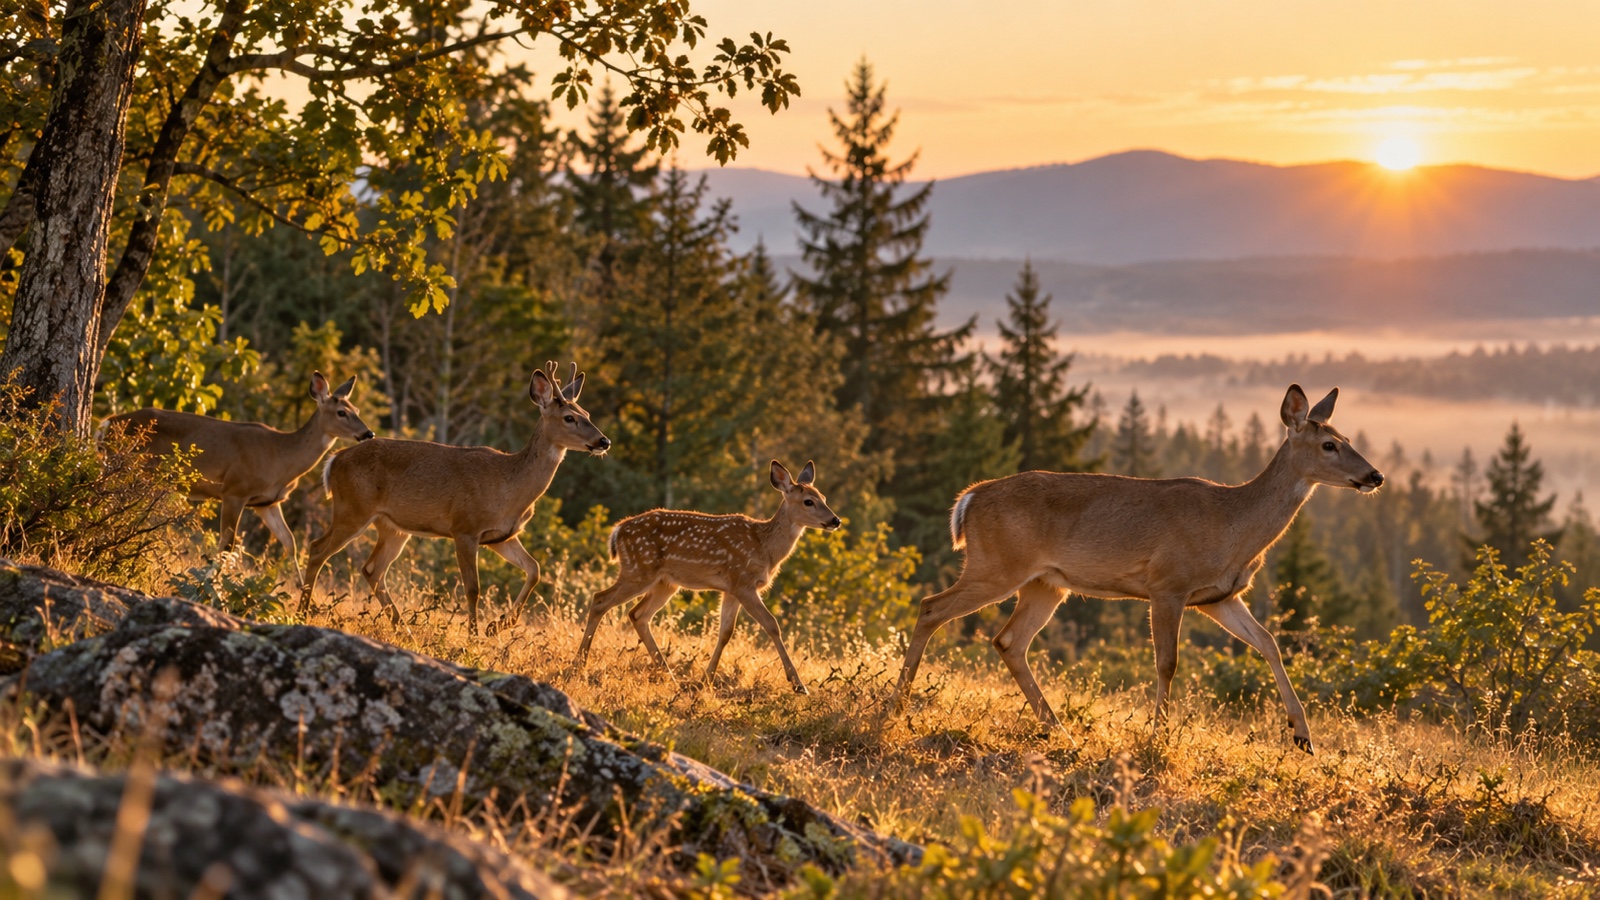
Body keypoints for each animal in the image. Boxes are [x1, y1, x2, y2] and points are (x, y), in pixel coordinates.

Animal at [106, 372, 375, 581]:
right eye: (341, 412)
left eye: (357, 409)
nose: (368, 433)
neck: (281, 456)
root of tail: (106, 424)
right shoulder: (234, 491)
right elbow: (227, 545)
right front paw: (212, 586)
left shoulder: (268, 502)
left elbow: (290, 542)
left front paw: (299, 591)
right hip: (132, 468)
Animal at [297, 362, 610, 634]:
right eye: (569, 418)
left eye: (587, 413)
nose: (603, 441)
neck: (510, 486)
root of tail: (334, 460)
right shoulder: (465, 527)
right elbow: (473, 588)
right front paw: (474, 636)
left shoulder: (501, 536)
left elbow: (535, 569)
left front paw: (498, 625)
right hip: (352, 509)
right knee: (318, 549)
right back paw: (302, 613)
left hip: (392, 526)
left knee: (372, 569)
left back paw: (404, 629)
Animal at [574, 460, 842, 694]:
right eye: (808, 501)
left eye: (824, 498)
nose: (835, 520)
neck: (764, 547)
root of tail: (618, 530)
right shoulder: (743, 581)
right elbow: (771, 625)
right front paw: (798, 685)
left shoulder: (731, 589)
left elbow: (725, 632)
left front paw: (706, 680)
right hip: (638, 569)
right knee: (600, 599)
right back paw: (579, 665)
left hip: (664, 582)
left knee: (638, 614)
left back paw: (669, 675)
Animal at [888, 385, 1385, 754]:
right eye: (1329, 445)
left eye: (1349, 439)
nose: (1375, 476)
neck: (1232, 525)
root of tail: (968, 500)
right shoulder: (1167, 584)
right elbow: (1168, 662)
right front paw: (1158, 738)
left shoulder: (1220, 597)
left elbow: (1269, 643)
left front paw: (1303, 736)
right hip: (997, 565)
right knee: (932, 607)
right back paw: (896, 707)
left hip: (1045, 583)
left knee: (1009, 641)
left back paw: (1060, 731)